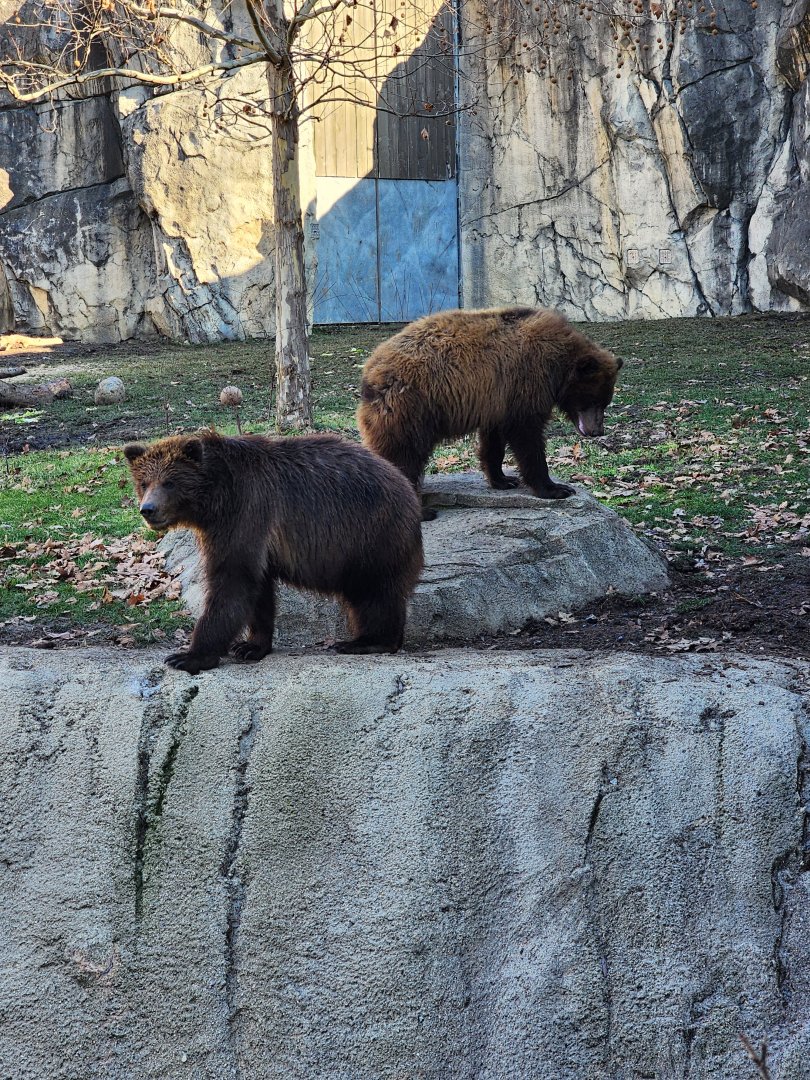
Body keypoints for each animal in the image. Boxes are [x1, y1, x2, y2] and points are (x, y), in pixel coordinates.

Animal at [123, 432, 424, 674]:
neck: (215, 498)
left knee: (373, 591)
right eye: (144, 482)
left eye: (169, 482)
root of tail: (406, 486)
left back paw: (366, 641)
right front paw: (250, 646)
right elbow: (258, 591)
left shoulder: (246, 512)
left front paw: (188, 656)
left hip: (369, 534)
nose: (148, 509)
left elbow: (232, 582)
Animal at [357, 306, 623, 518]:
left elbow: (493, 441)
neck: (557, 367)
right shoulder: (526, 380)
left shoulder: (496, 400)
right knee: (404, 454)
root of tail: (371, 371)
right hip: (413, 406)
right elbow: (527, 436)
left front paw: (503, 479)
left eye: (605, 402)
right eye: (593, 401)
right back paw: (422, 511)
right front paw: (555, 488)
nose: (597, 431)